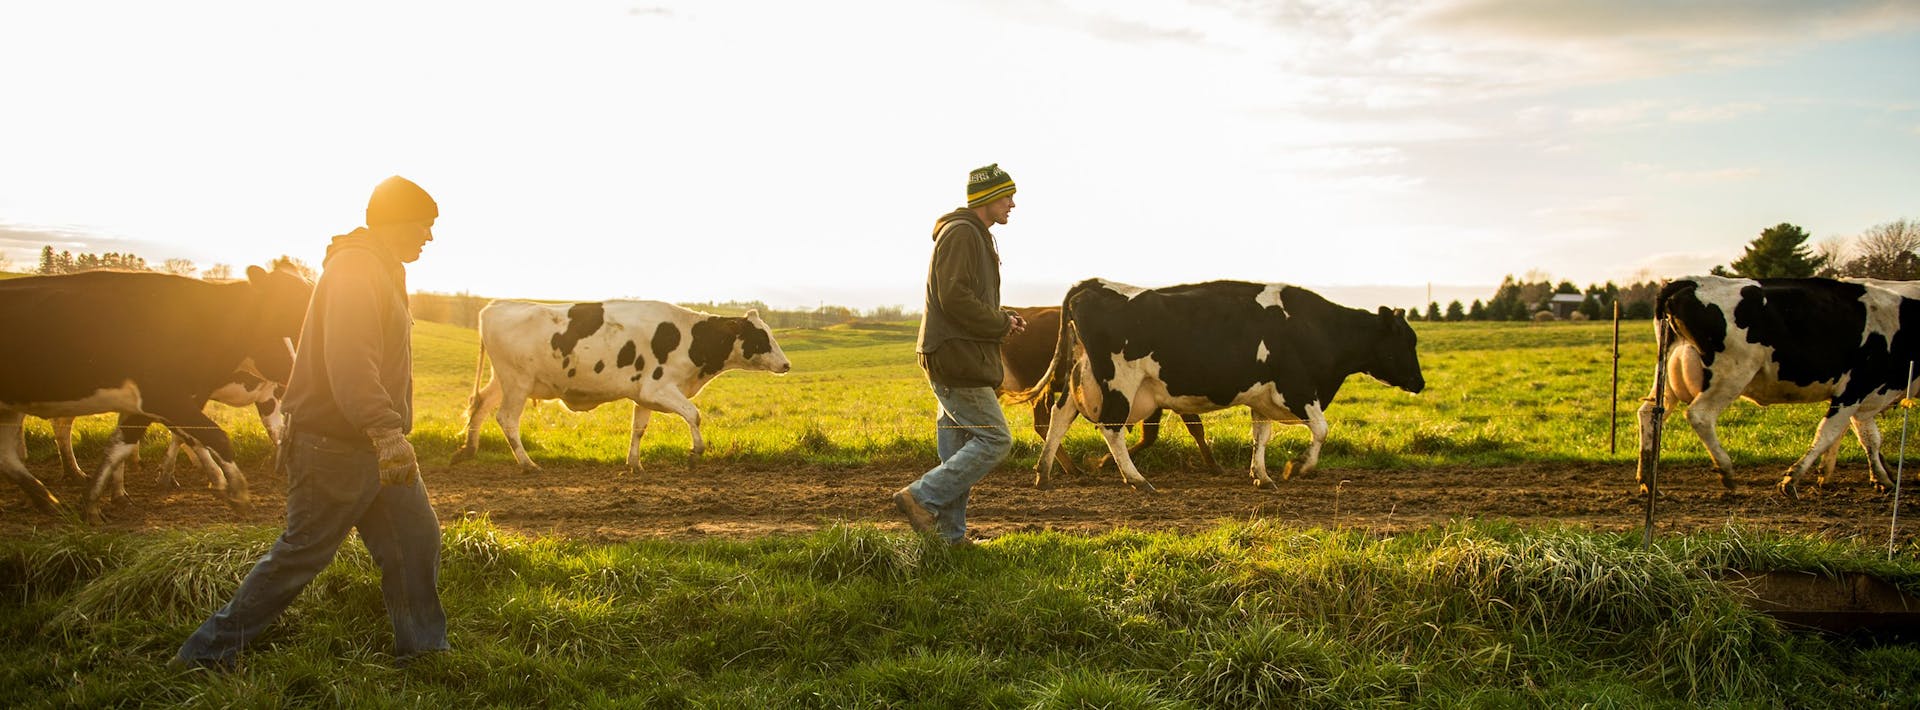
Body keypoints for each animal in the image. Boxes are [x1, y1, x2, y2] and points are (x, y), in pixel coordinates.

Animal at [0, 266, 311, 521]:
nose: (295, 366)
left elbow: (121, 444)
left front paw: (99, 500)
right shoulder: (166, 395)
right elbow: (208, 436)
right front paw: (229, 487)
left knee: (15, 449)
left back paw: (49, 495)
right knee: (53, 429)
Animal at [453, 297, 791, 472]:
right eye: (761, 336)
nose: (786, 364)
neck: (691, 337)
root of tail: (496, 305)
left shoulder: (644, 395)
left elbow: (638, 428)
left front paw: (634, 463)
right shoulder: (659, 388)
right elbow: (694, 414)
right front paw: (696, 452)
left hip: (503, 380)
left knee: (480, 404)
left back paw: (469, 450)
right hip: (517, 382)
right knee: (507, 418)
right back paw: (527, 463)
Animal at [1021, 278, 1428, 495]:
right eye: (1407, 341)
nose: (1420, 382)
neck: (1318, 329)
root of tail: (1094, 284)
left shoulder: (1263, 398)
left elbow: (1261, 436)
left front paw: (1262, 475)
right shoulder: (1297, 388)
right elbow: (1322, 429)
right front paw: (1298, 467)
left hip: (1082, 376)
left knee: (1059, 417)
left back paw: (1044, 473)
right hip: (1119, 381)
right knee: (1110, 427)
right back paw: (1136, 479)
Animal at [1635, 274, 1920, 495]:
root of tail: (1687, 282)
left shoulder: (1866, 396)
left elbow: (1868, 438)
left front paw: (1879, 478)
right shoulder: (1854, 390)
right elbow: (1828, 433)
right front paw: (1793, 478)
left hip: (1667, 378)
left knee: (1649, 413)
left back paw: (1648, 481)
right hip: (1732, 373)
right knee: (1699, 415)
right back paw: (1726, 471)